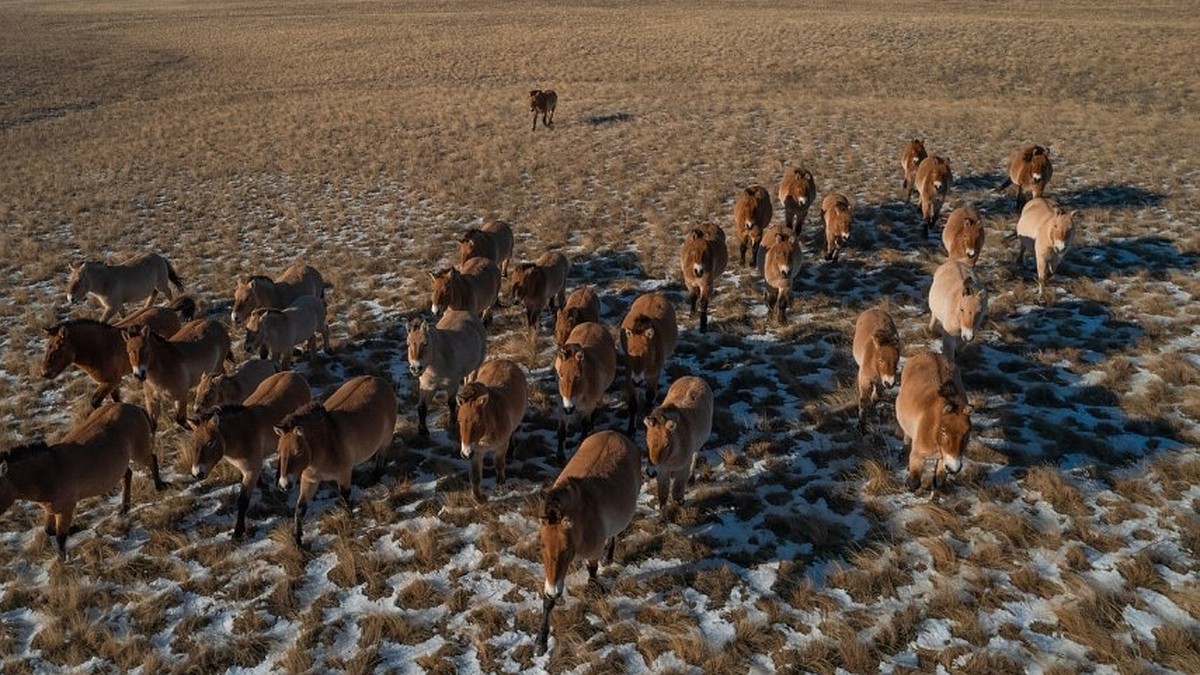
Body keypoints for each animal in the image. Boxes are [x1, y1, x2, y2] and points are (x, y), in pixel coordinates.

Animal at [0, 398, 162, 557]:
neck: (49, 471)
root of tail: (133, 407)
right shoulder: (51, 510)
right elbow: (49, 531)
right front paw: (76, 528)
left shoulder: (66, 509)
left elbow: (60, 538)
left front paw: (64, 559)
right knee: (127, 475)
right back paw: (124, 509)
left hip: (139, 451)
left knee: (152, 460)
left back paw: (159, 486)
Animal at [187, 367, 309, 535]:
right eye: (193, 443)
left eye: (210, 442)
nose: (197, 473)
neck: (241, 432)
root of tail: (294, 374)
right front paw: (263, 486)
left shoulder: (250, 471)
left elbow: (243, 501)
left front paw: (238, 531)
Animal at [276, 372, 398, 547]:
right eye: (279, 451)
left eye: (298, 451)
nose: (284, 485)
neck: (326, 442)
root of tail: (379, 380)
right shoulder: (310, 480)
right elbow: (300, 508)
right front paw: (297, 539)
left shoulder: (344, 473)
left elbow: (345, 496)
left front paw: (351, 520)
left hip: (386, 439)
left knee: (381, 458)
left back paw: (374, 478)